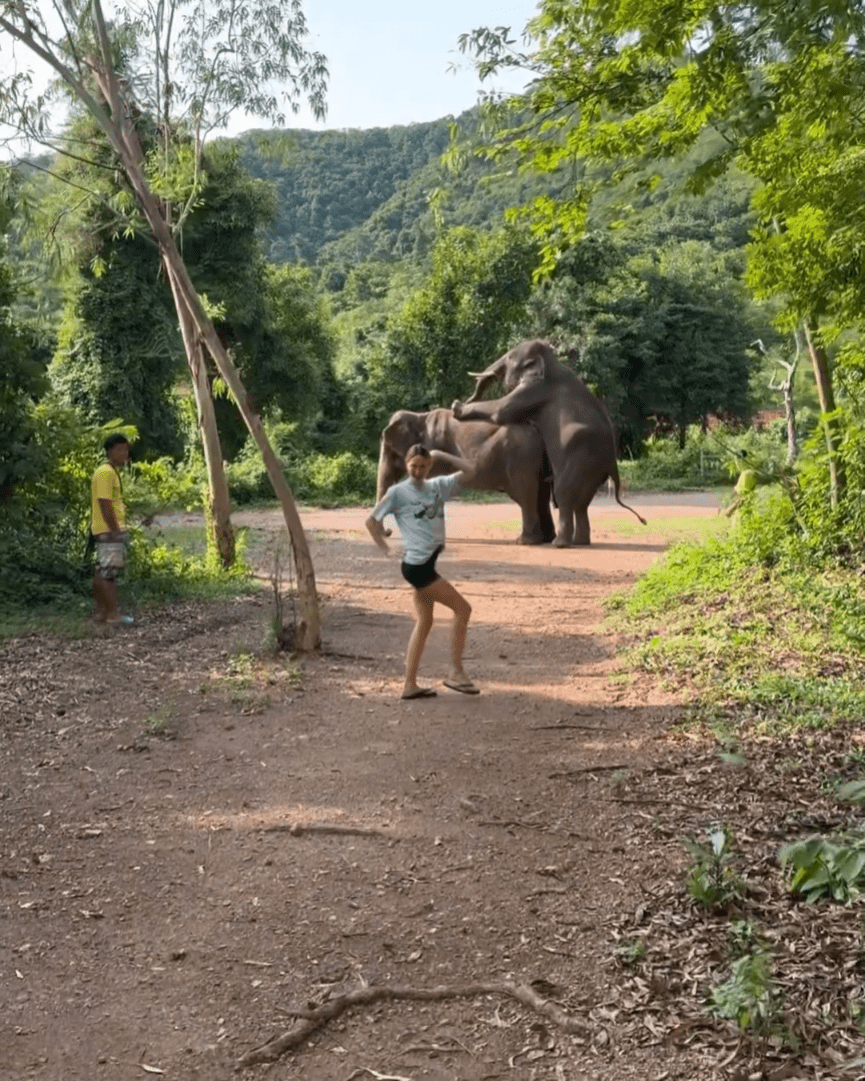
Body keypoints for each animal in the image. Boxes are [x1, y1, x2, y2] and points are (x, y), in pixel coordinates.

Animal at [376, 406, 553, 544]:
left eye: (391, 453)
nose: (389, 532)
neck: (419, 416)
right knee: (542, 495)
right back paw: (546, 539)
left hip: (521, 460)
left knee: (525, 495)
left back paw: (525, 541)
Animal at [451, 339, 648, 544]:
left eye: (511, 357)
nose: (464, 398)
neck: (551, 361)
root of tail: (613, 464)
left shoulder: (535, 388)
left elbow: (501, 410)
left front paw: (457, 407)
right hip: (593, 471)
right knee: (582, 503)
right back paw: (579, 542)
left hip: (581, 460)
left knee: (564, 494)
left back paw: (559, 543)